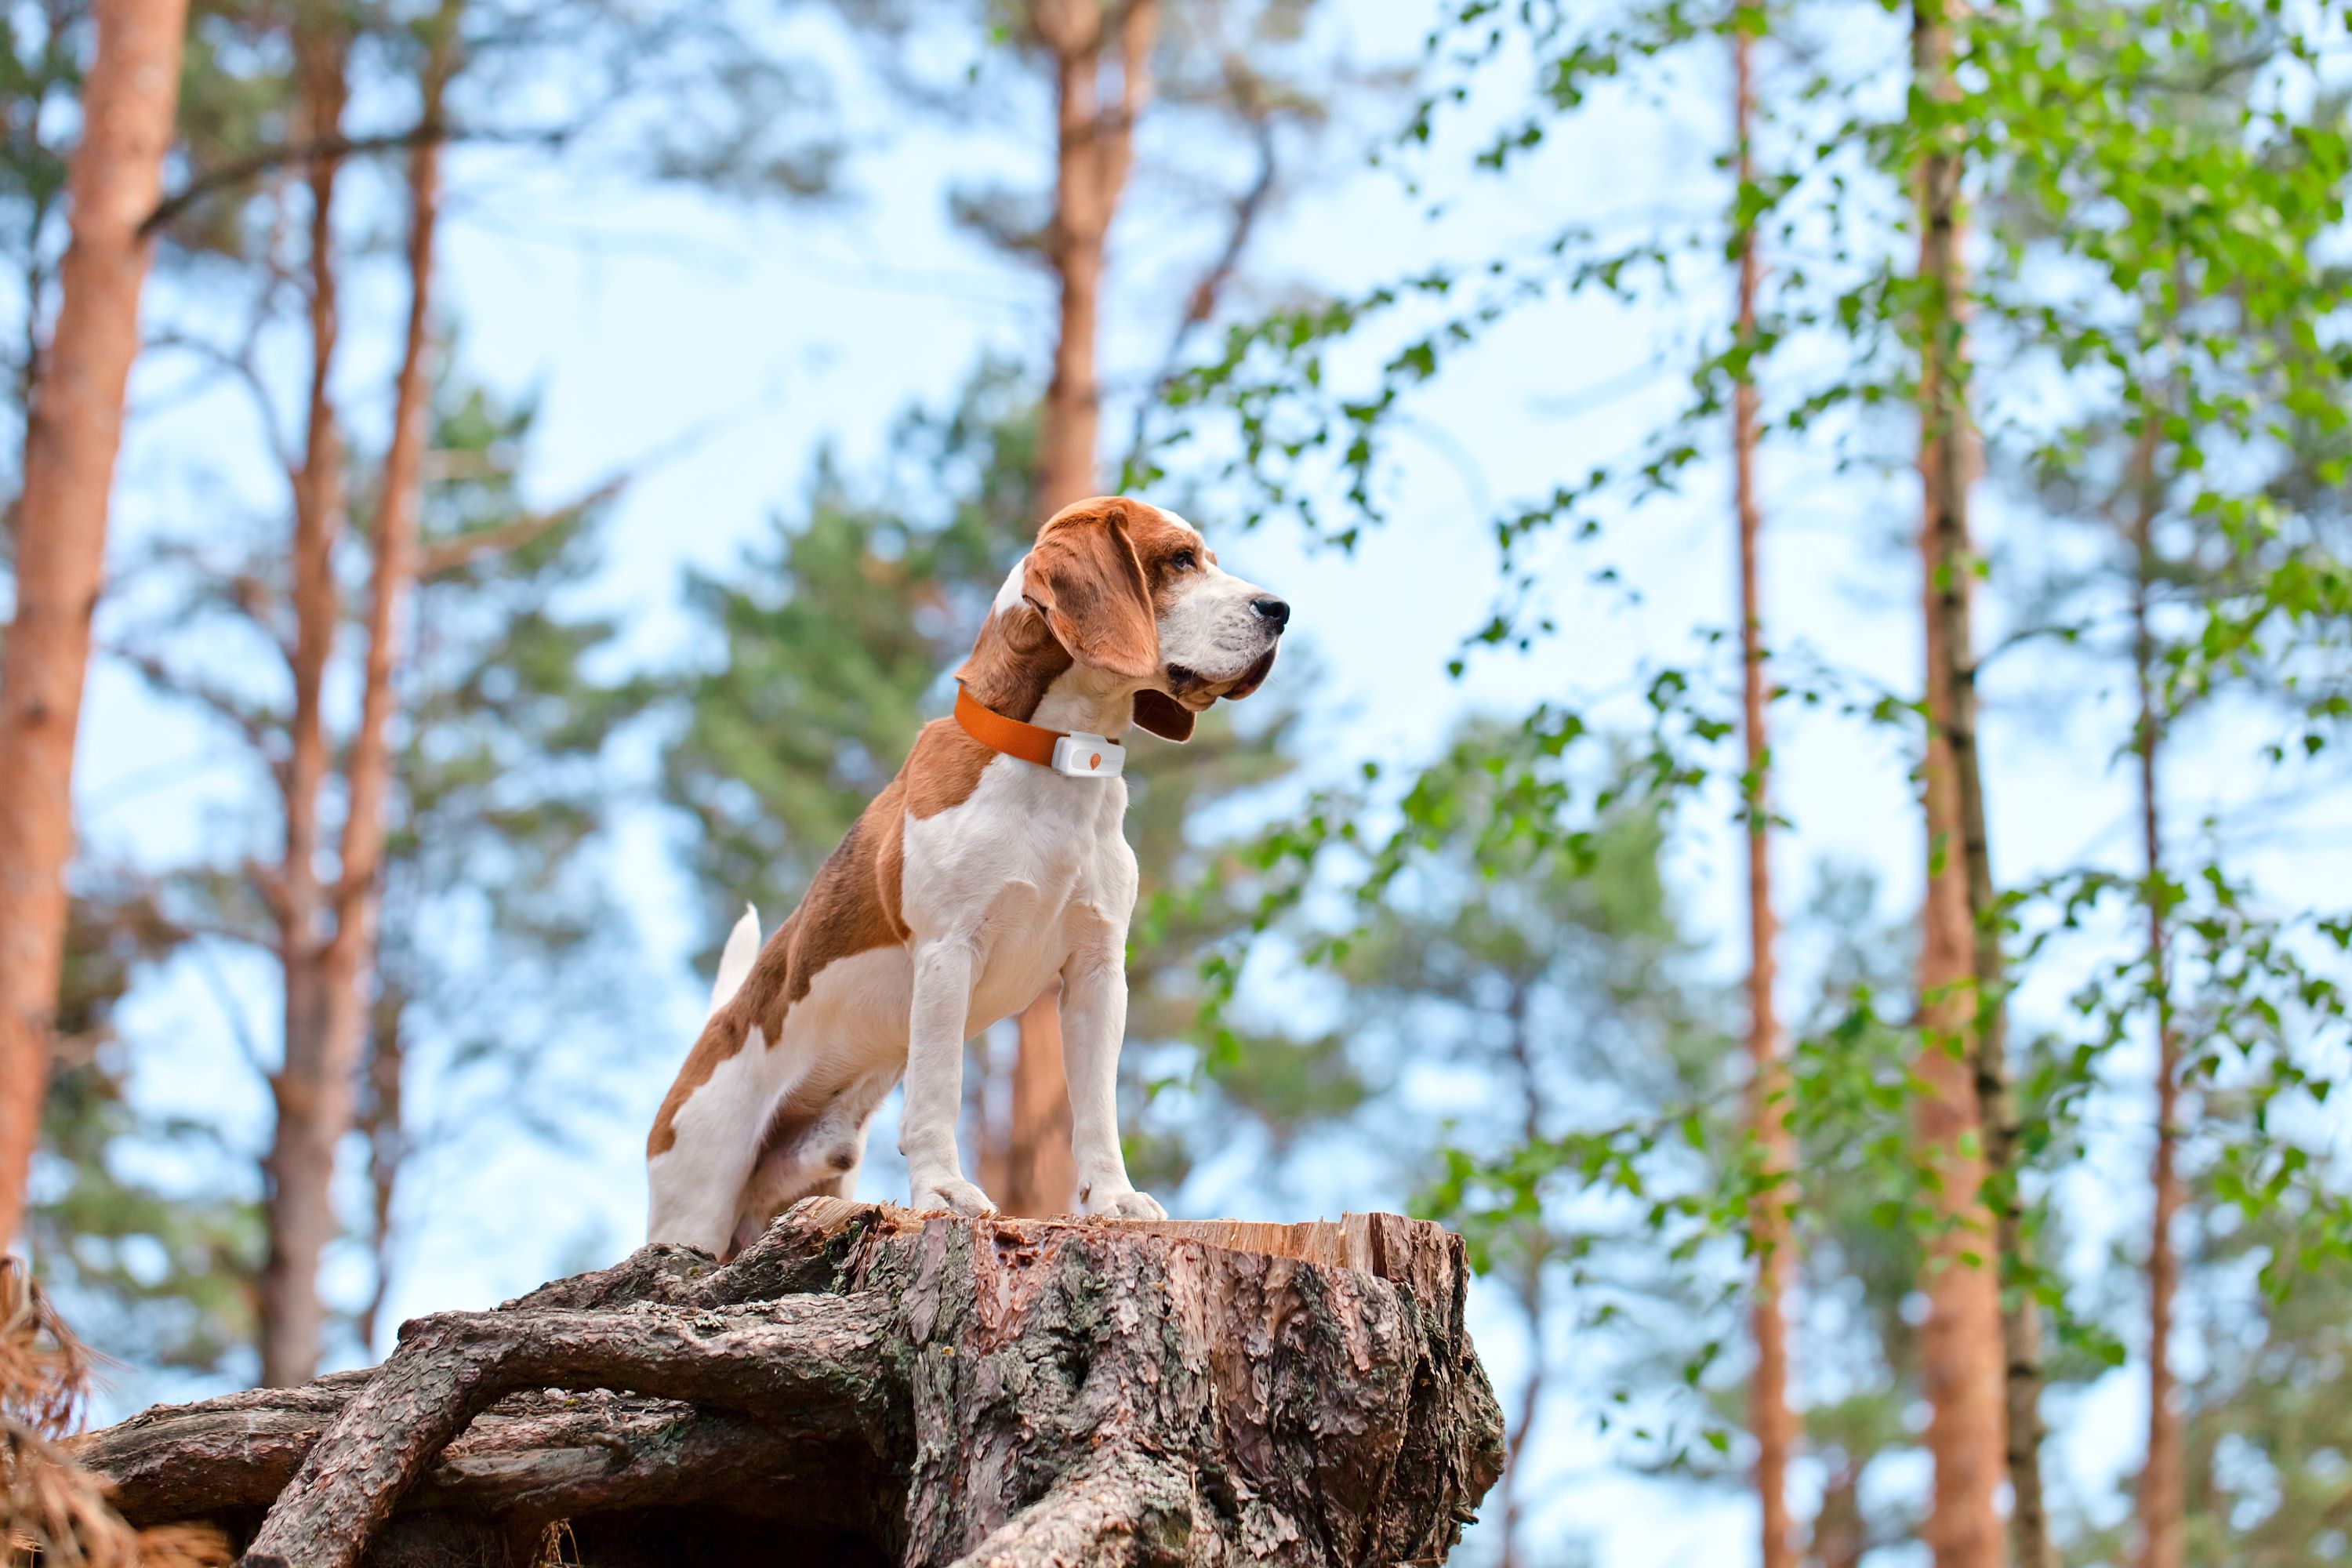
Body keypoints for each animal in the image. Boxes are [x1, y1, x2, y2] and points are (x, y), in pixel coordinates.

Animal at [649, 495, 1289, 1260]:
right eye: (1181, 559)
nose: (1280, 610)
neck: (1056, 760)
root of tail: (715, 1030)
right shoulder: (949, 953)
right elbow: (937, 1093)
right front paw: (943, 1192)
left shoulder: (1098, 969)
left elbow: (1096, 1107)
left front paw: (1112, 1198)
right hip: (697, 1196)